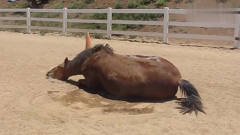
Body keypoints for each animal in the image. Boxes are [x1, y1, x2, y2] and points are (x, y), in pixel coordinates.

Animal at [46, 43, 204, 115]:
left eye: (59, 67)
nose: (48, 73)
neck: (90, 60)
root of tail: (178, 79)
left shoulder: (89, 82)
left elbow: (80, 83)